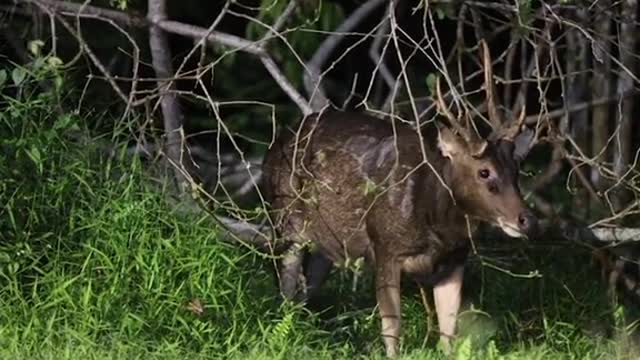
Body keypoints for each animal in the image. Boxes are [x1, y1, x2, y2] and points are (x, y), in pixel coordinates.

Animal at [262, 42, 536, 358]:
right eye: (484, 171)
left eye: (517, 169)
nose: (525, 219)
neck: (436, 224)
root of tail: (273, 147)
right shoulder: (384, 246)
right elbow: (392, 328)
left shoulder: (455, 259)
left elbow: (449, 331)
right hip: (286, 221)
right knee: (286, 286)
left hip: (326, 245)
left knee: (305, 290)